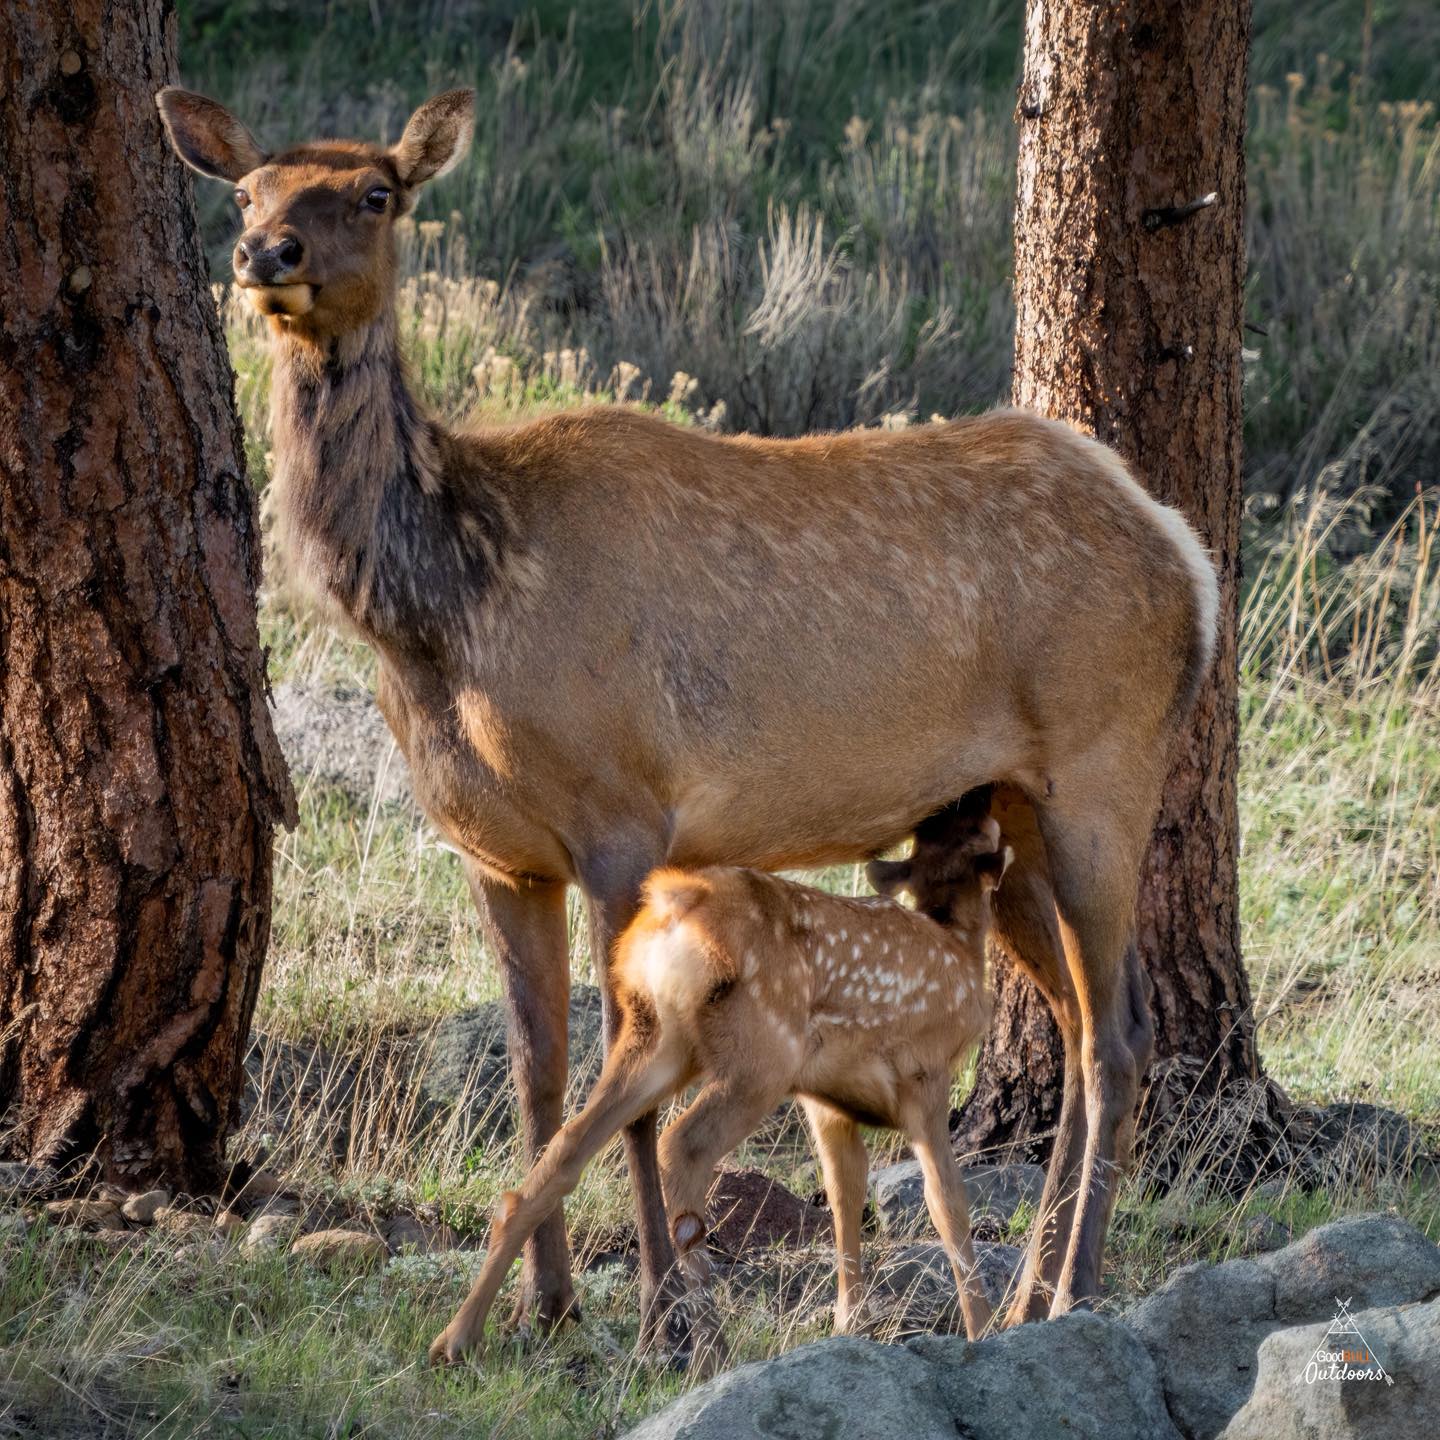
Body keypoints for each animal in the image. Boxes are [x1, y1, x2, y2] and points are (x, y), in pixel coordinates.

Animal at [428, 803, 1012, 1368]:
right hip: (760, 1057)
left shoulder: (826, 1103)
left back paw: (458, 1338)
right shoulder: (924, 1077)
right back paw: (712, 1346)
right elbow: (947, 1204)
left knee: (564, 1151)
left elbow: (845, 1196)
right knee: (681, 1146)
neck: (958, 946)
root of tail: (673, 906)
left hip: (655, 1040)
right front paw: (985, 1332)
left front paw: (852, 1325)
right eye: (976, 832)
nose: (977, 806)